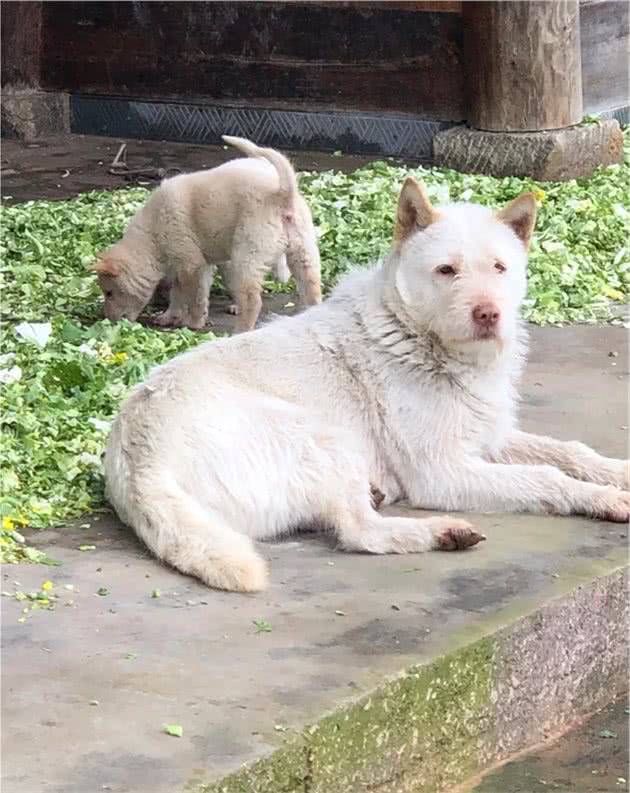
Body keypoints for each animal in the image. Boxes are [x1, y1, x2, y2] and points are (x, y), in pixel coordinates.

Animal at [91, 136, 324, 332]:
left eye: (109, 292)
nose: (109, 320)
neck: (152, 235)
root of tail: (282, 194)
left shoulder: (190, 263)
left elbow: (193, 296)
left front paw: (193, 322)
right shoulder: (198, 265)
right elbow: (184, 294)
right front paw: (170, 317)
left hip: (247, 255)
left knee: (252, 300)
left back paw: (240, 330)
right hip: (303, 253)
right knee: (312, 290)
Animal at [105, 178, 630, 588]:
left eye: (499, 268)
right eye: (447, 270)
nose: (488, 314)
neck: (419, 338)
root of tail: (137, 462)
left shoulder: (490, 439)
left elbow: (571, 452)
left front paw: (615, 474)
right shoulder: (443, 472)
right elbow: (546, 477)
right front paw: (605, 499)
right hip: (323, 437)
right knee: (359, 532)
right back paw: (439, 532)